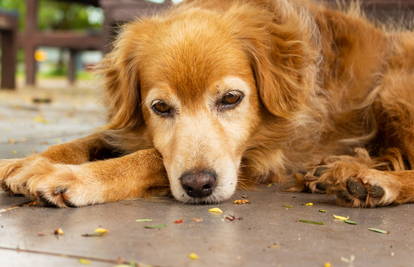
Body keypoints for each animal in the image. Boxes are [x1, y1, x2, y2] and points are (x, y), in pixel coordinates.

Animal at [0, 0, 414, 208]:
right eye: (160, 108)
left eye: (231, 99)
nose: (199, 186)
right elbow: (90, 140)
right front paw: (27, 161)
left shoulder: (261, 158)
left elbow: (149, 158)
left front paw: (69, 177)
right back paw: (338, 169)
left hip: (393, 89)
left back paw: (370, 182)